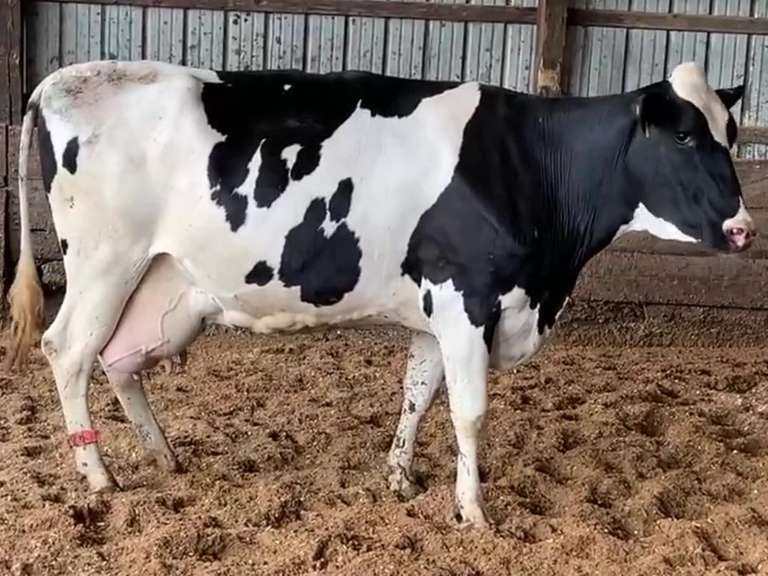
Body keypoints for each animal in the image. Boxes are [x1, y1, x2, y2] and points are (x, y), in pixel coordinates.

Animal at [6, 59, 754, 529]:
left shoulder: (433, 310)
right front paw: (473, 511)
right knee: (68, 351)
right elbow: (470, 413)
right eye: (683, 134)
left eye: (730, 132)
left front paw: (400, 479)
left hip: (164, 283)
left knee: (120, 360)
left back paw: (163, 456)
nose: (744, 227)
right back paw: (99, 475)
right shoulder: (466, 297)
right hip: (104, 260)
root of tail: (63, 78)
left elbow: (418, 395)